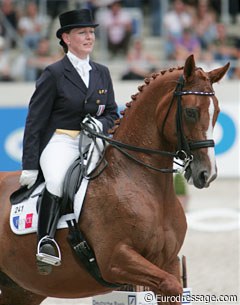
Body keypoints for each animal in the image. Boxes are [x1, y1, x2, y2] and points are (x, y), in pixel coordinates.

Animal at [0, 55, 229, 304]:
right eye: (190, 112)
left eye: (216, 112)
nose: (207, 173)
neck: (135, 178)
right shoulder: (115, 260)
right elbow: (170, 285)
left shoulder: (169, 261)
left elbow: (173, 288)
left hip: (22, 290)